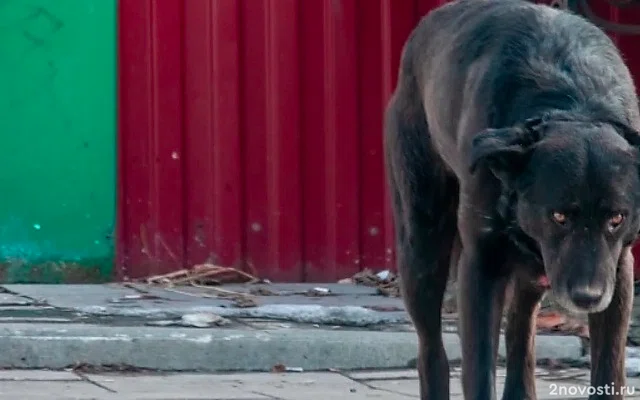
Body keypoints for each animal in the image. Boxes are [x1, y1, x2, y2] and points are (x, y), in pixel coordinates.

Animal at [382, 1, 640, 398]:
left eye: (617, 219)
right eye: (558, 216)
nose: (587, 297)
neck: (571, 105)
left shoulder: (618, 270)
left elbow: (609, 371)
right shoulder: (482, 265)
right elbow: (479, 370)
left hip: (532, 272)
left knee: (520, 334)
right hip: (422, 245)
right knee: (431, 349)